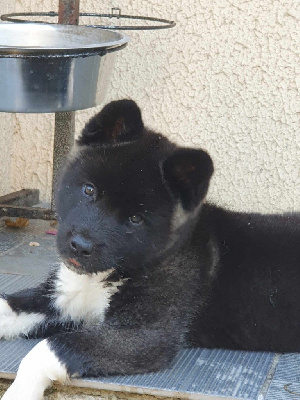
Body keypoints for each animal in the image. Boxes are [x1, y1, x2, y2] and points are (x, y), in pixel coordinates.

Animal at [1, 101, 300, 400]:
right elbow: (8, 306)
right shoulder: (61, 298)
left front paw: (20, 391)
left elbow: (48, 349)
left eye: (136, 219)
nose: (80, 246)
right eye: (89, 190)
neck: (105, 276)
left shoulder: (146, 335)